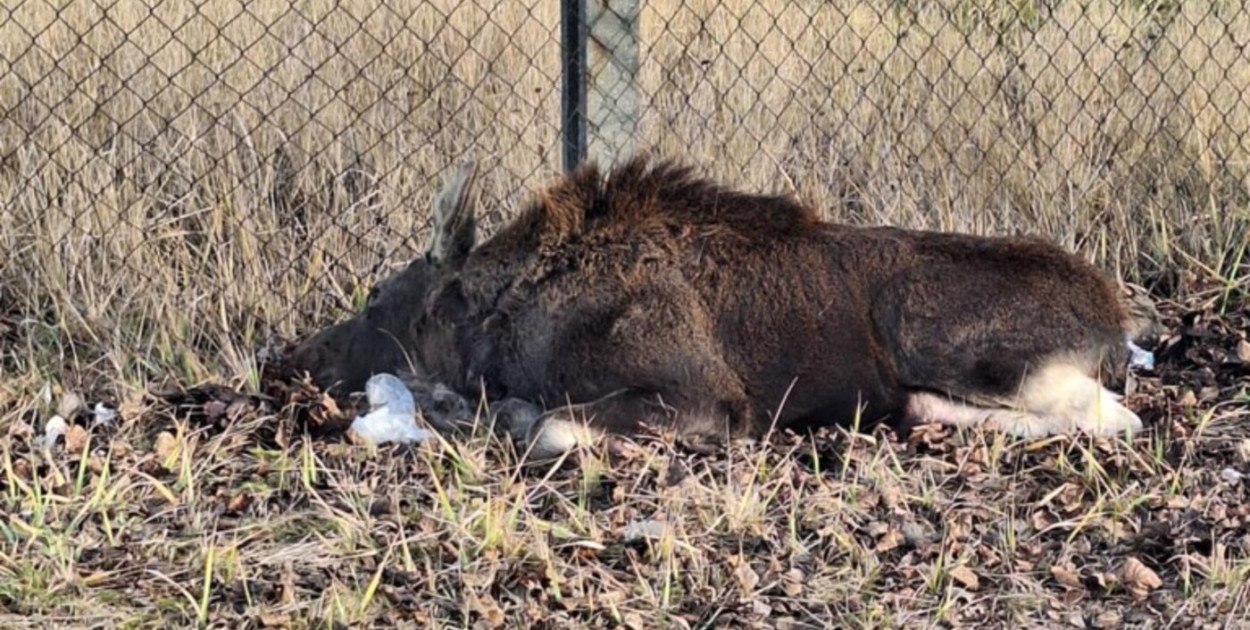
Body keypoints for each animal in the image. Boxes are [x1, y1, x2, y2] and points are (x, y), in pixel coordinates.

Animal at [287, 152, 1145, 457]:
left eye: (376, 301)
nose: (291, 356)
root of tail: (1116, 325)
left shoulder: (710, 400)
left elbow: (548, 426)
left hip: (929, 326)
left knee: (1112, 415)